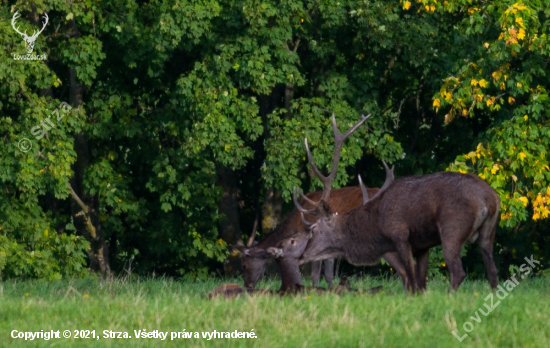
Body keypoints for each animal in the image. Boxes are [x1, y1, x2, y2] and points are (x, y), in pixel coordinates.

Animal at [270, 115, 502, 294]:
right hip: (489, 231)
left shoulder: (400, 234)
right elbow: (420, 282)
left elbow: (412, 279)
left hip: (452, 228)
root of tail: (489, 198)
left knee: (457, 272)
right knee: (492, 271)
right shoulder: (423, 245)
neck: (376, 222)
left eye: (314, 230)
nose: (301, 257)